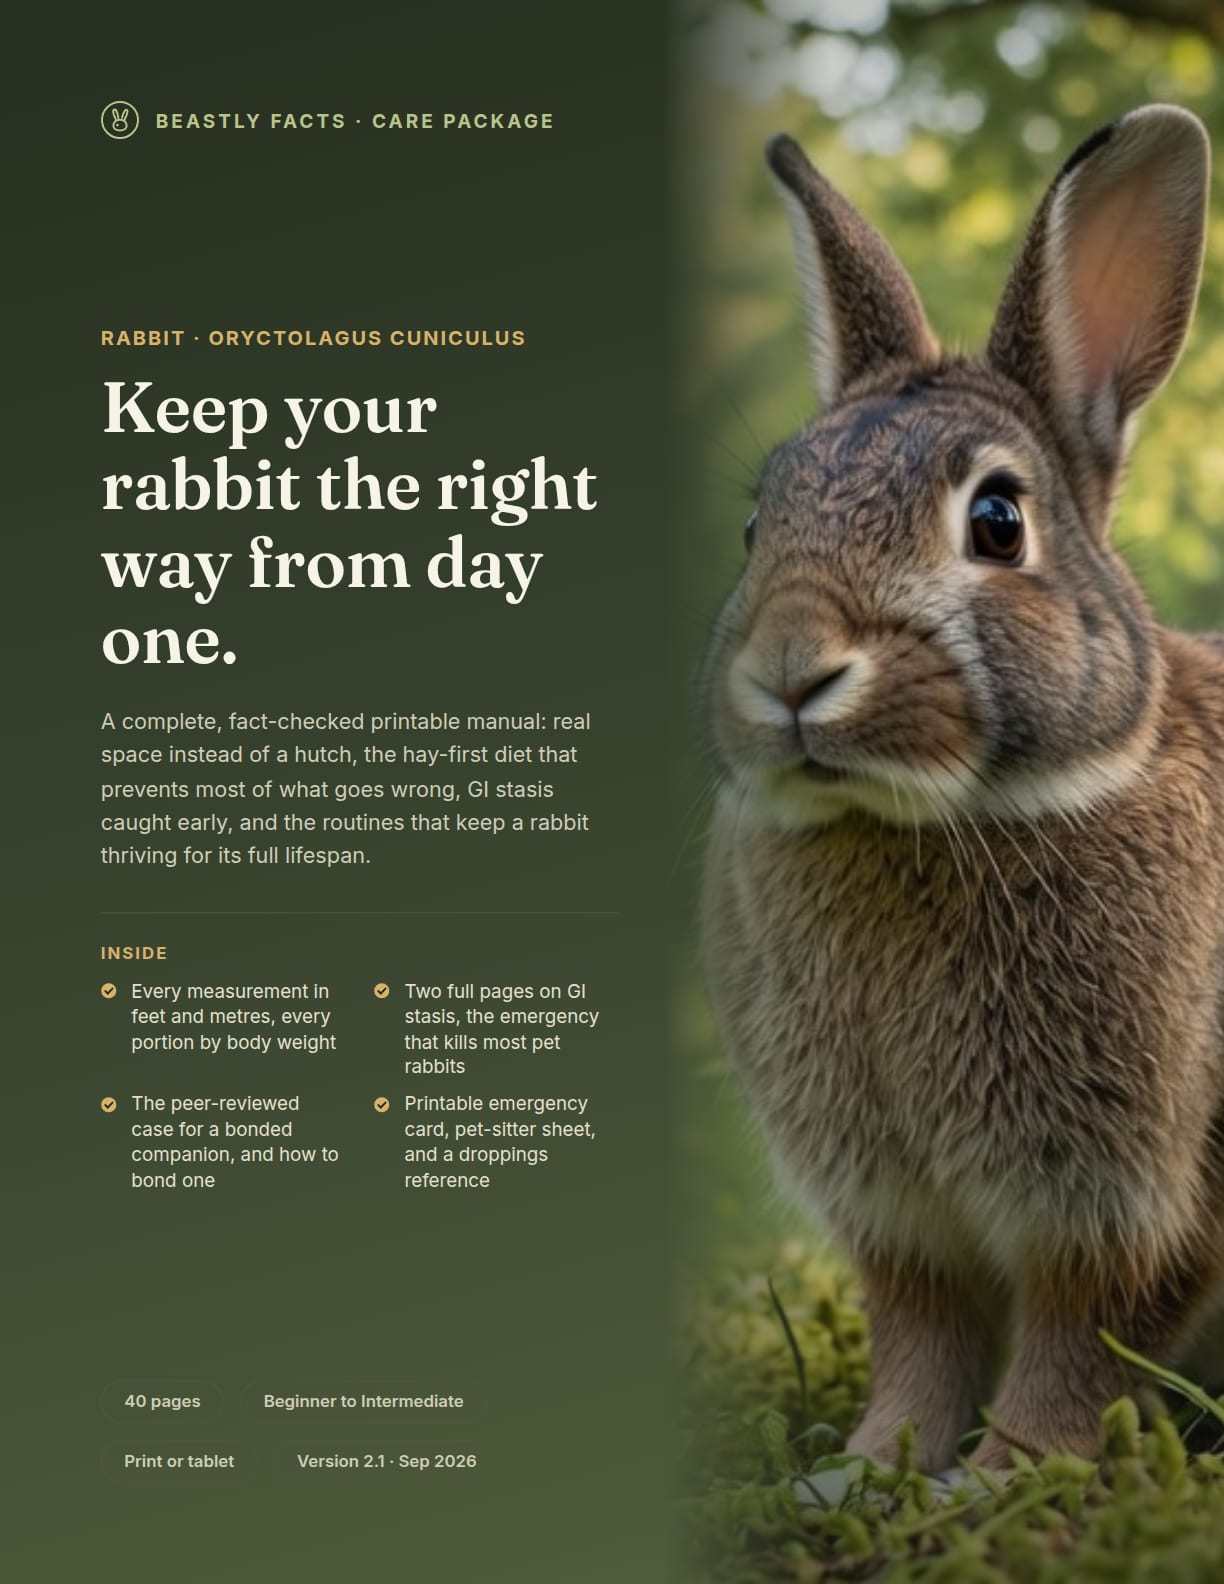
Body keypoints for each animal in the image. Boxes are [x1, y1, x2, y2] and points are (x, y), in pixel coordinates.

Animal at [700, 105, 1224, 1473]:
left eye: (996, 521)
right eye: (758, 526)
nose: (791, 668)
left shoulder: (1132, 1191)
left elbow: (1082, 1336)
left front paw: (1004, 1477)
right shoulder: (896, 1211)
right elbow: (923, 1332)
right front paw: (872, 1466)